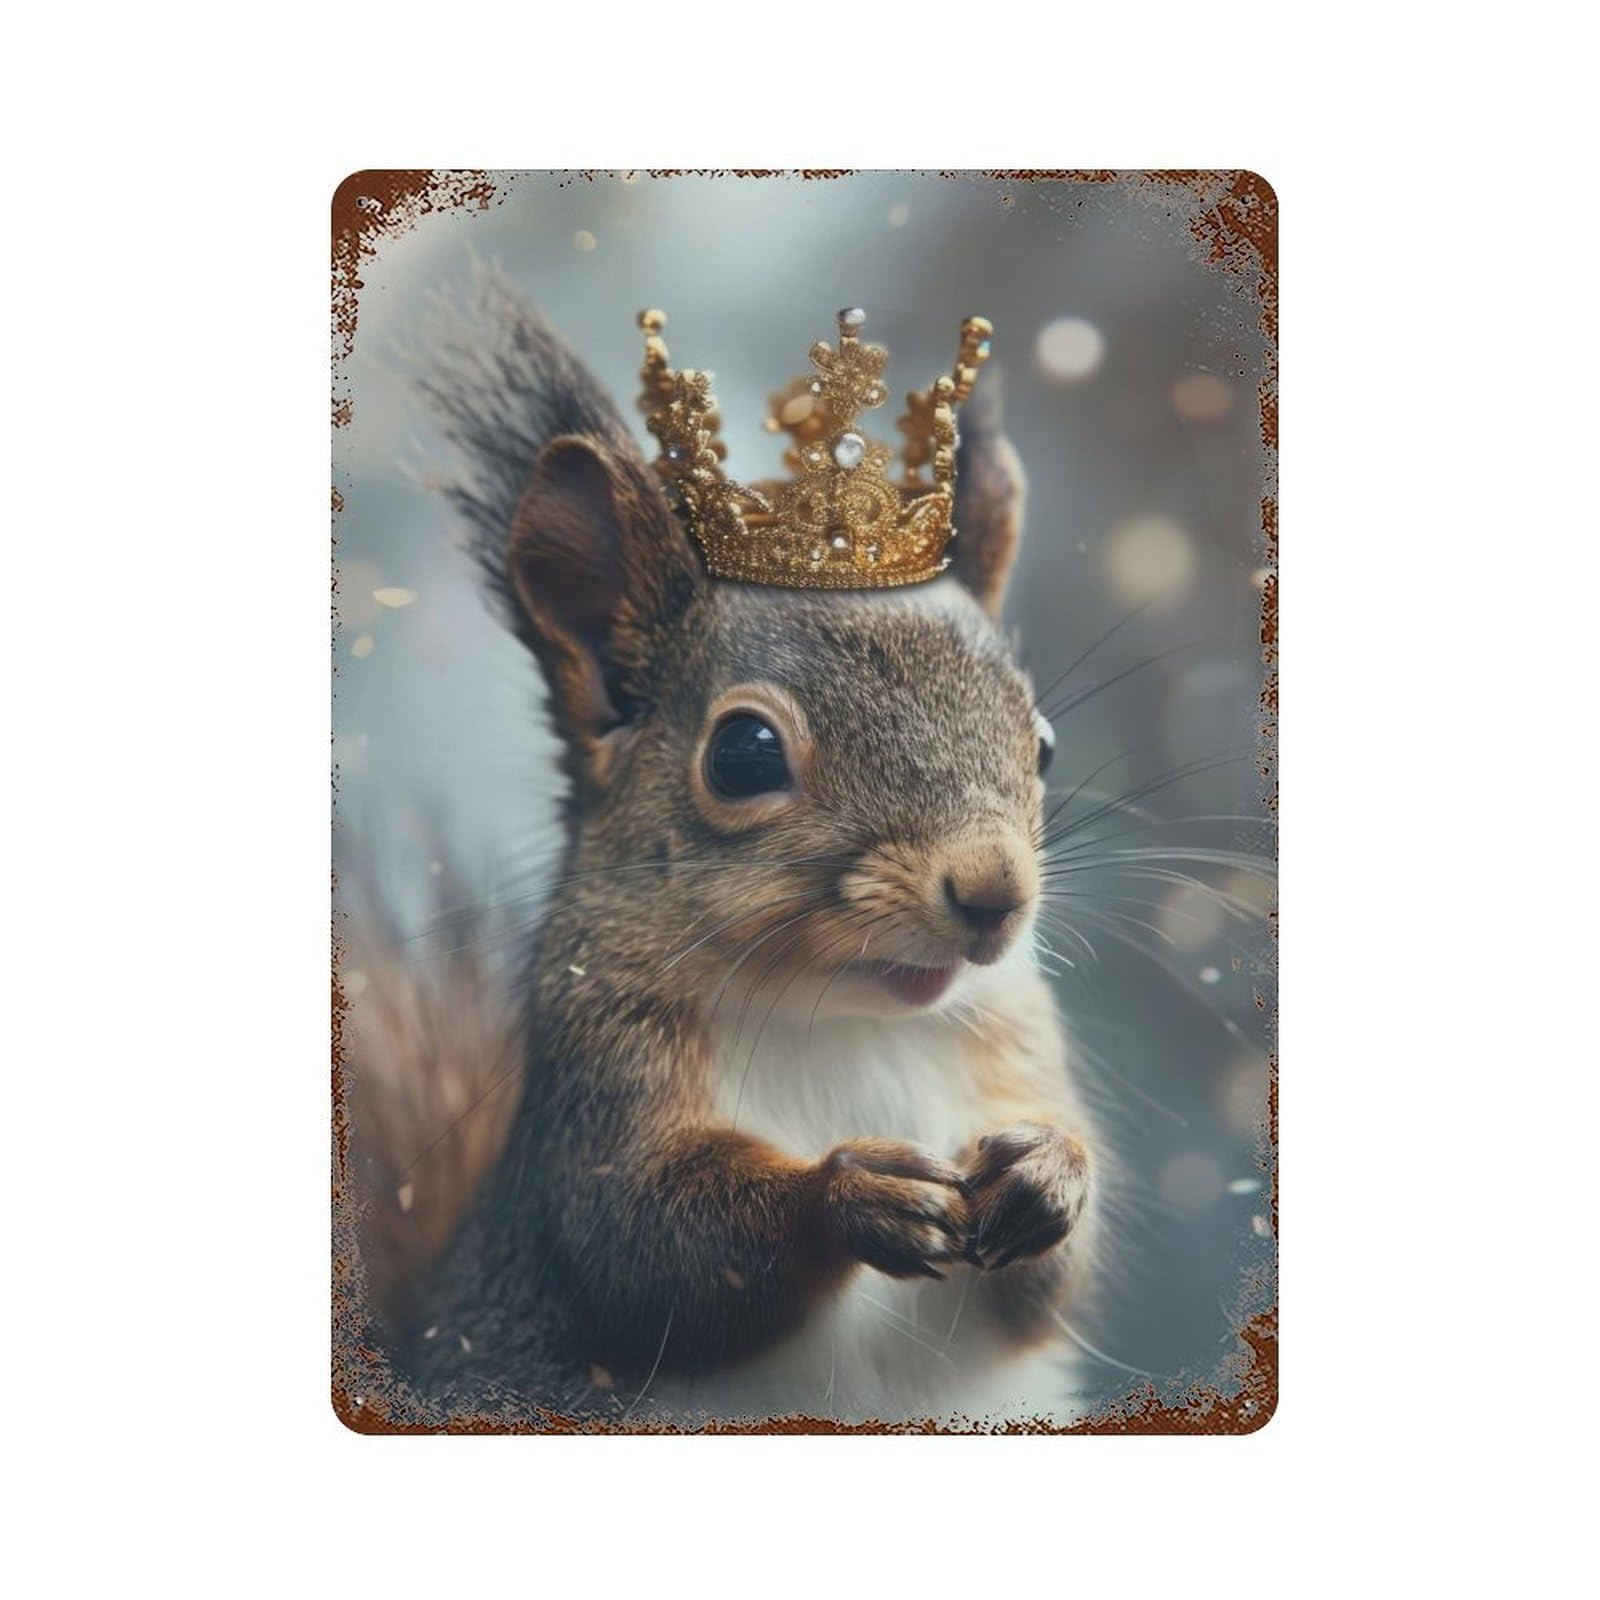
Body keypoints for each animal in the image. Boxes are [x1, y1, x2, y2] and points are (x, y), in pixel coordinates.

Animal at [349, 268, 1105, 1427]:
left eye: (1045, 743)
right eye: (743, 755)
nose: (994, 894)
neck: (847, 1024)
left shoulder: (1014, 1044)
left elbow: (1051, 1285)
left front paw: (1050, 1171)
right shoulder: (596, 1093)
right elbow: (653, 1250)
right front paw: (849, 1192)